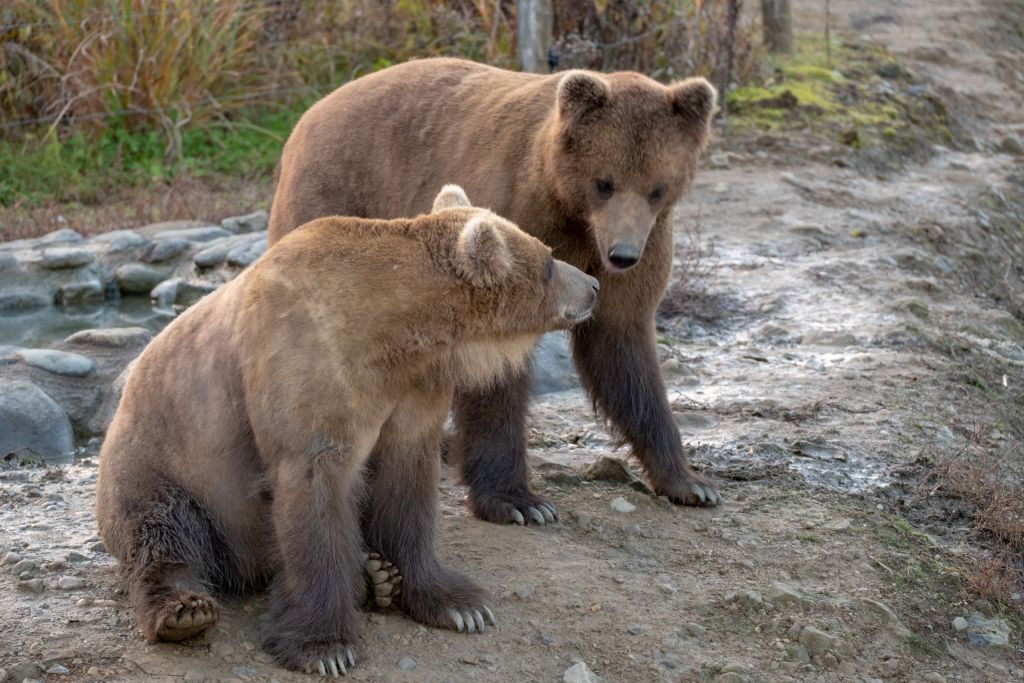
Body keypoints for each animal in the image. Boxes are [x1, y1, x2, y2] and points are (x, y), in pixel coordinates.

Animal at [96, 184, 598, 675]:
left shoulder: (412, 390)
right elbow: (315, 495)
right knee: (162, 535)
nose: (593, 286)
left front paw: (458, 604)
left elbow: (407, 487)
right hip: (161, 467)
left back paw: (374, 575)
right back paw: (185, 611)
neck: (395, 332)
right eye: (549, 262)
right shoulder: (310, 368)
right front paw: (325, 647)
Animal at [268, 58, 724, 528]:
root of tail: (310, 112)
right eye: (604, 182)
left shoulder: (640, 249)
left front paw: (691, 483)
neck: (572, 212)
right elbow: (496, 371)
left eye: (657, 188)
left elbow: (625, 351)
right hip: (339, 195)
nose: (623, 254)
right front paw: (519, 501)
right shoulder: (513, 215)